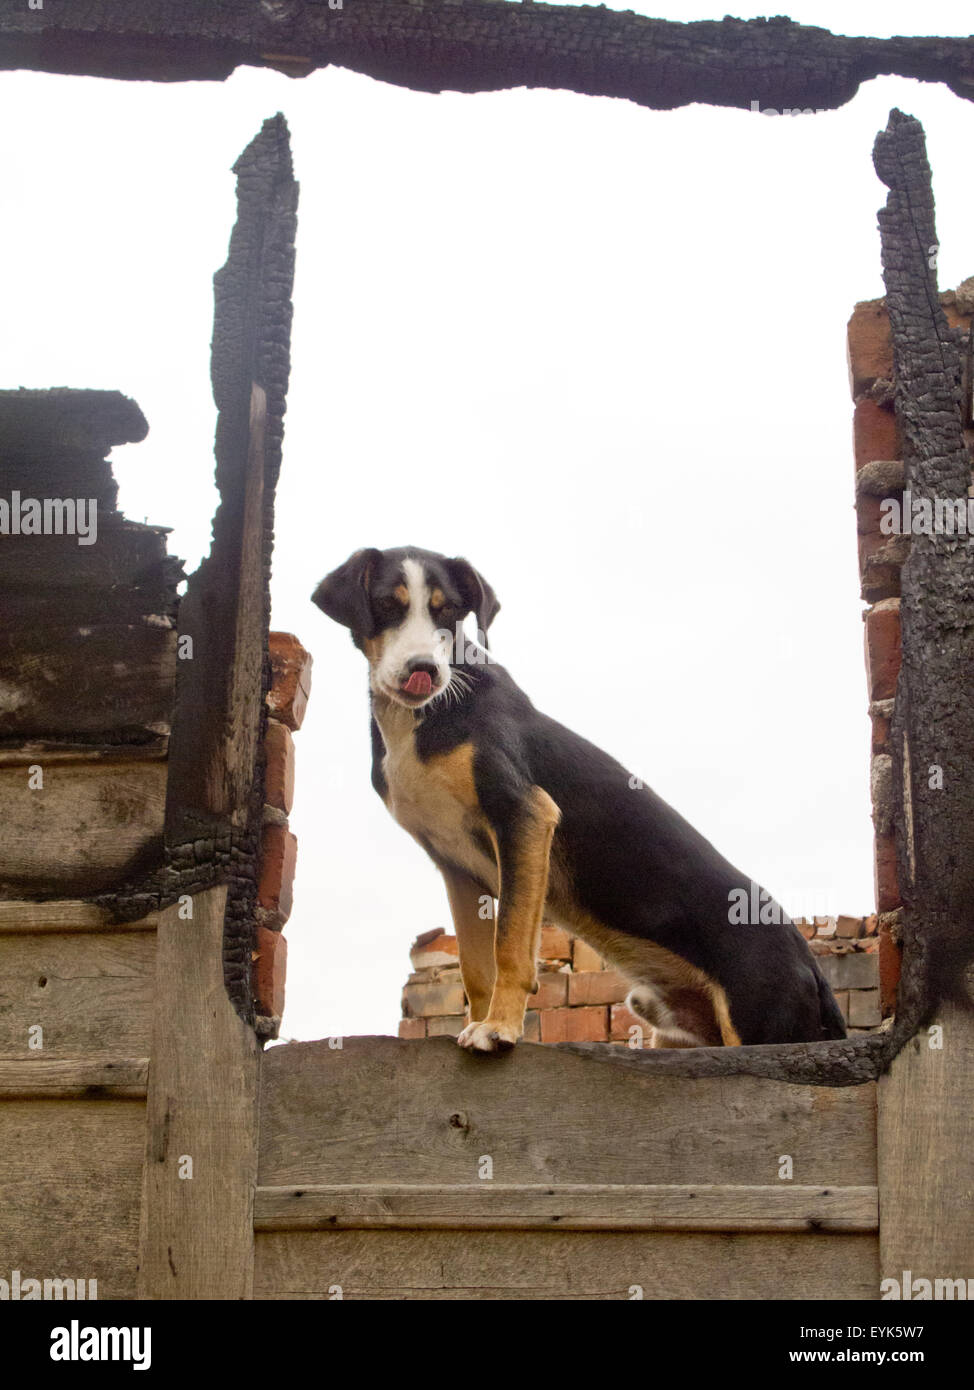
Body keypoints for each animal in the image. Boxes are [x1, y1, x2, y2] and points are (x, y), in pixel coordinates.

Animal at [311, 542, 844, 1050]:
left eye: (449, 611)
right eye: (386, 604)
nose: (424, 668)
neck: (423, 719)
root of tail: (811, 965)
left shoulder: (524, 815)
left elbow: (510, 949)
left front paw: (498, 1029)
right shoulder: (456, 866)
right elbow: (475, 970)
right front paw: (478, 1021)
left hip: (760, 1020)